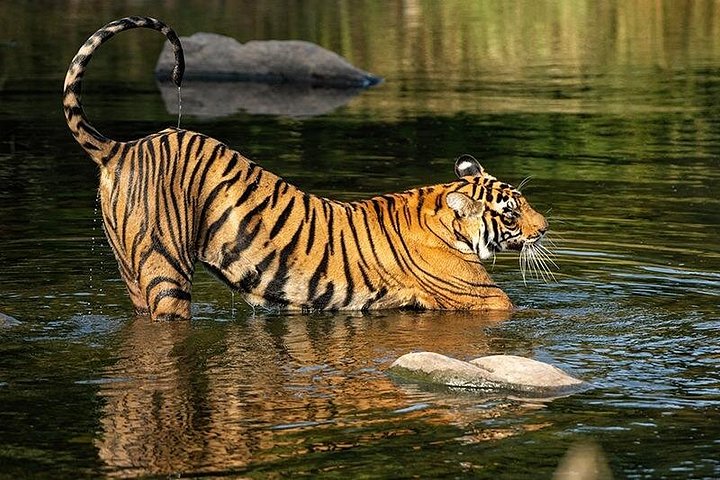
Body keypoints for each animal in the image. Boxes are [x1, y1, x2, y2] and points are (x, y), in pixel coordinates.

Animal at [63, 16, 552, 320]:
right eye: (511, 213)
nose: (546, 228)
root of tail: (121, 147)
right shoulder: (486, 298)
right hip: (164, 270)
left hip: (133, 271)